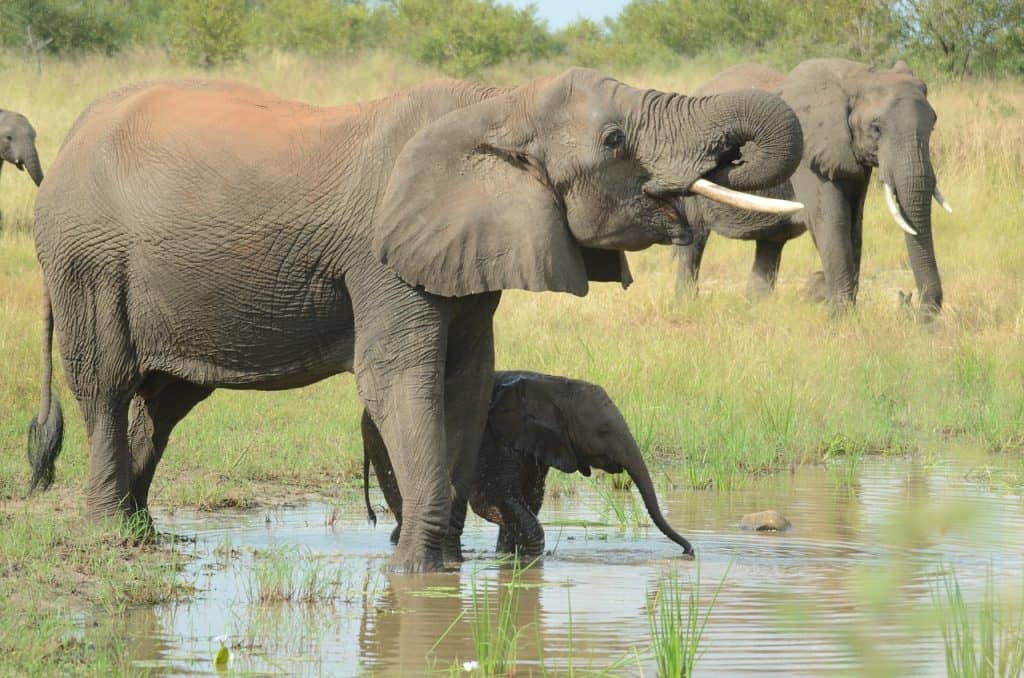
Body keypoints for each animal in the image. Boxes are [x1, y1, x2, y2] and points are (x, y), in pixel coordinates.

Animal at [362, 372, 696, 557]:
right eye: (602, 431)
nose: (689, 551)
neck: (554, 385)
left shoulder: (538, 446)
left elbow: (529, 501)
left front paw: (507, 555)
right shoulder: (496, 437)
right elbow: (494, 498)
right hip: (385, 442)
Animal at [675, 59, 946, 315]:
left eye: (933, 125)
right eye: (876, 129)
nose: (912, 305)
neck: (857, 80)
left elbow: (854, 222)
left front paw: (829, 300)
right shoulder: (807, 151)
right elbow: (832, 220)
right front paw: (838, 314)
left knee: (770, 243)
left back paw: (758, 307)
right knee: (695, 239)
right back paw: (687, 303)